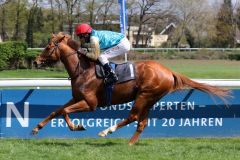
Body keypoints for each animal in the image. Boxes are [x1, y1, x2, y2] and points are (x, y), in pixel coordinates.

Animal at [33, 33, 231, 146]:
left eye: (48, 47)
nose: (35, 62)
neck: (83, 69)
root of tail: (168, 71)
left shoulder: (91, 103)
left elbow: (65, 111)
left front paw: (77, 126)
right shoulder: (76, 98)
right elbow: (57, 111)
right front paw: (36, 128)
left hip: (144, 96)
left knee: (133, 117)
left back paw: (107, 131)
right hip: (150, 99)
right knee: (142, 123)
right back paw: (129, 144)